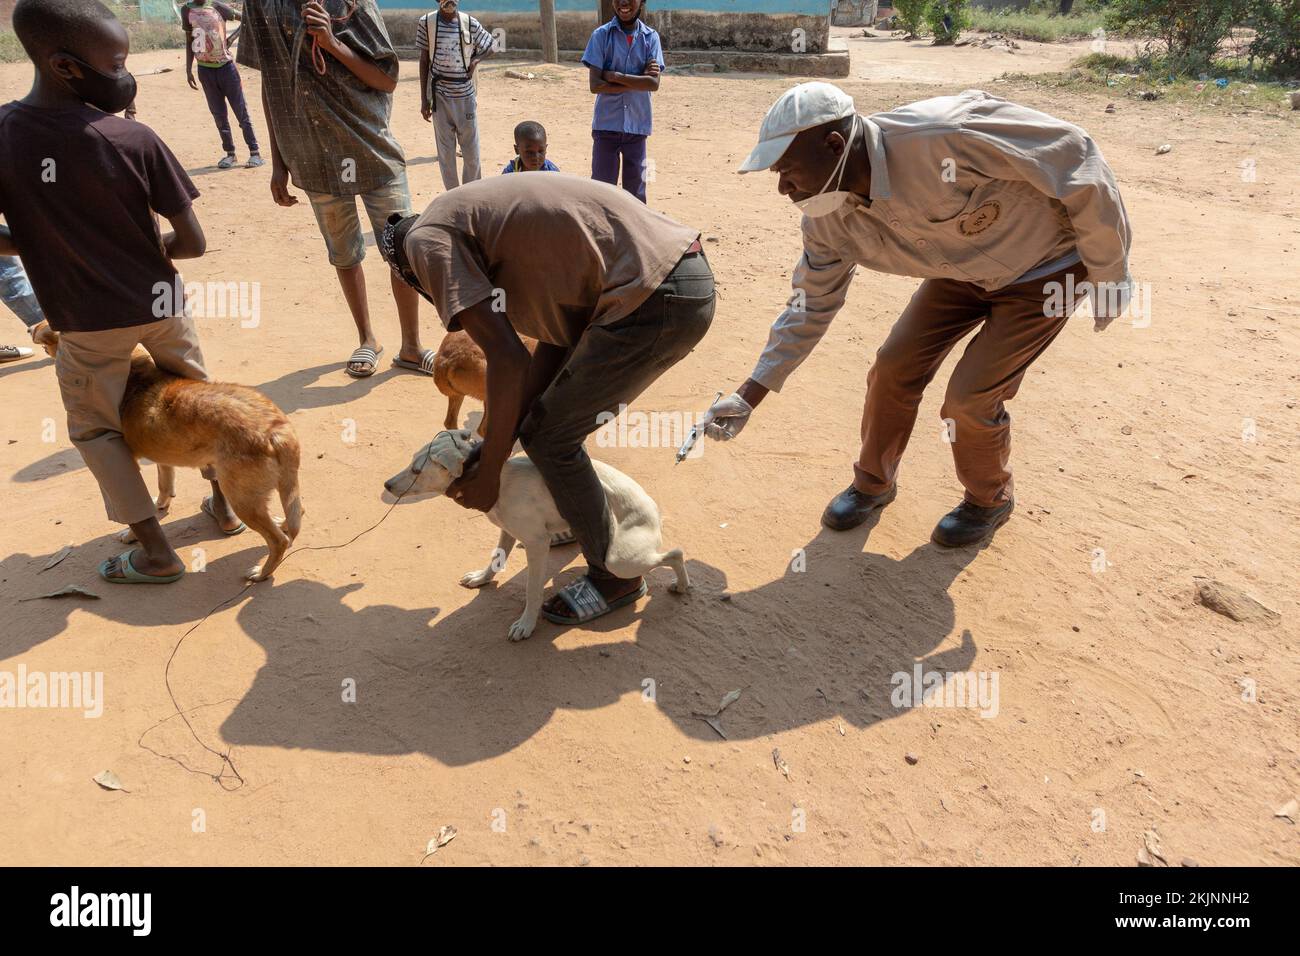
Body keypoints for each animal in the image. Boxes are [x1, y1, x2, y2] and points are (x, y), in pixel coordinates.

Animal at [47, 338, 305, 590]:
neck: (135, 374)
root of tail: (275, 429)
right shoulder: (162, 459)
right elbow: (164, 487)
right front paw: (161, 505)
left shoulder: (126, 459)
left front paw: (130, 534)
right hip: (279, 488)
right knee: (296, 514)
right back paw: (281, 524)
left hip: (242, 499)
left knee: (279, 541)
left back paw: (262, 573)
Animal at [382, 429, 691, 639]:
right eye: (411, 462)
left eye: (416, 470)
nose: (386, 484)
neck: (495, 478)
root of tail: (653, 508)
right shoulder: (507, 531)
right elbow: (496, 558)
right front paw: (482, 578)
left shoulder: (536, 543)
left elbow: (532, 590)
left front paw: (526, 624)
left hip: (620, 560)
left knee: (675, 553)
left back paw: (682, 585)